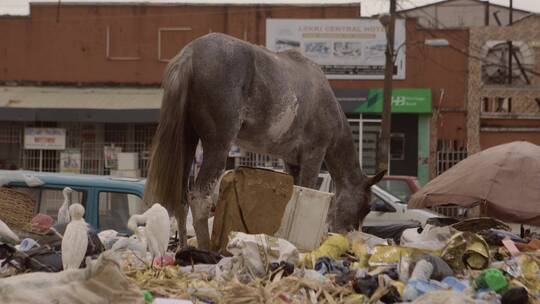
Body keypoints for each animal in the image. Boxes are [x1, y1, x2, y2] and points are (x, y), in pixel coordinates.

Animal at [143, 33, 386, 249]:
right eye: (367, 207)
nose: (349, 234)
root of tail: (190, 55)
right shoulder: (314, 154)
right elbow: (306, 190)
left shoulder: (292, 160)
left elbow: (295, 193)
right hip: (218, 145)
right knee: (199, 197)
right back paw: (205, 249)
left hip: (186, 143)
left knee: (181, 198)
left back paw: (183, 248)